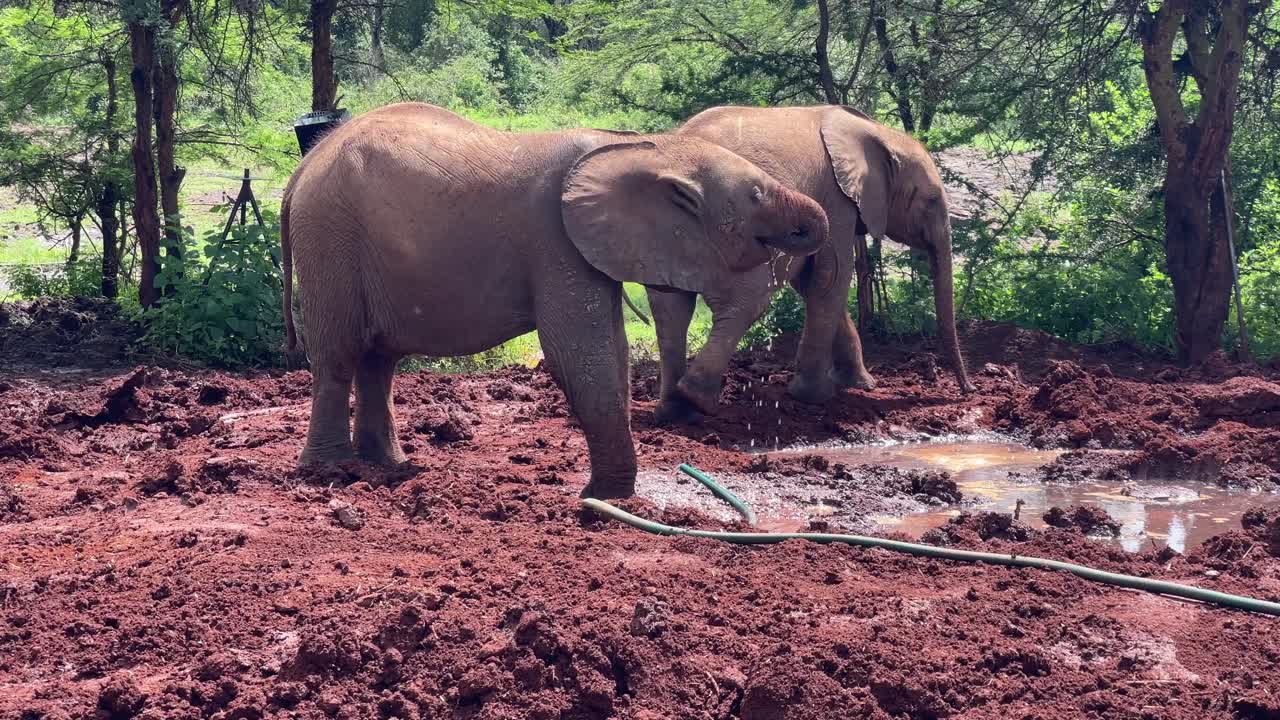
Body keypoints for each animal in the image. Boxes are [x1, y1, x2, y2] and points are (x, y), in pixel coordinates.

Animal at [280, 102, 829, 499]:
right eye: (757, 194)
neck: (648, 147)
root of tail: (305, 166)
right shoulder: (556, 242)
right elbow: (578, 352)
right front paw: (605, 499)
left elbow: (612, 350)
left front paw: (613, 497)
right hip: (330, 239)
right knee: (339, 356)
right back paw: (331, 471)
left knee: (379, 359)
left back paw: (387, 467)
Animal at [646, 104, 973, 425]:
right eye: (931, 200)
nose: (967, 391)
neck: (879, 133)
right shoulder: (837, 200)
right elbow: (832, 276)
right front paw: (814, 397)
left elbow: (811, 282)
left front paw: (861, 385)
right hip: (732, 233)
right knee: (744, 304)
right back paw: (697, 398)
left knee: (670, 312)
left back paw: (675, 413)